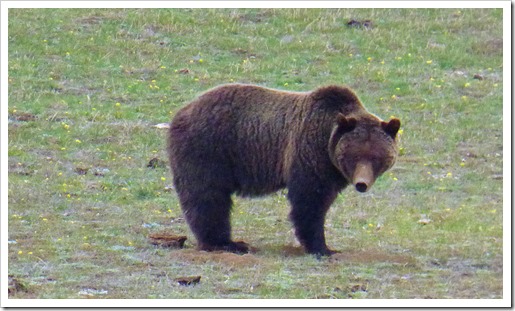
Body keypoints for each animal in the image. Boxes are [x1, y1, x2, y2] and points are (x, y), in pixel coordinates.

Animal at [167, 84, 402, 258]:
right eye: (354, 156)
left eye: (377, 157)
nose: (362, 183)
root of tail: (181, 111)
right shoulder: (308, 153)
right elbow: (309, 202)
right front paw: (322, 247)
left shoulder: (330, 170)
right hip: (209, 149)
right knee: (208, 197)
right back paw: (226, 243)